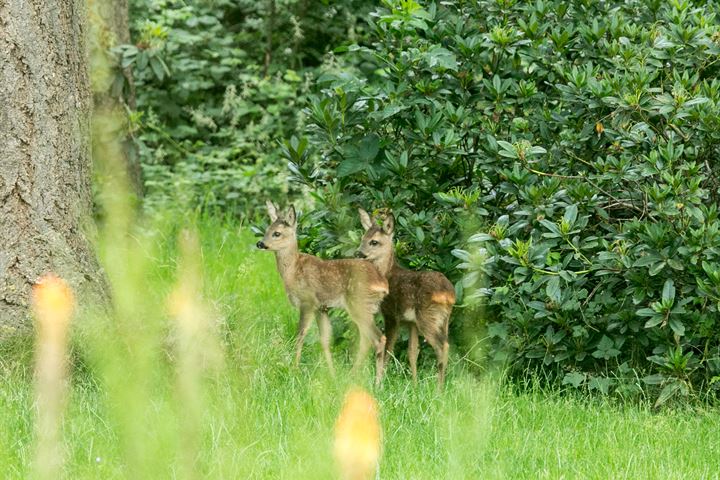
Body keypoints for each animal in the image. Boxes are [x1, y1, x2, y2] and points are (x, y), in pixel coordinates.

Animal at [255, 202, 388, 386]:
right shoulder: (321, 307)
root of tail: (382, 284)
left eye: (277, 233)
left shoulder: (307, 301)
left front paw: (294, 371)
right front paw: (332, 375)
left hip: (359, 305)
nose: (260, 243)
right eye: (267, 229)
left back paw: (376, 383)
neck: (293, 271)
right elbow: (325, 340)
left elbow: (300, 335)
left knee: (377, 338)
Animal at [356, 210, 456, 386]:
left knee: (442, 346)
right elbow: (412, 352)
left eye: (374, 242)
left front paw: (379, 383)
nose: (359, 253)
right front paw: (415, 385)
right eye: (363, 238)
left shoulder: (391, 314)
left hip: (427, 316)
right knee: (444, 344)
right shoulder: (411, 323)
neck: (387, 274)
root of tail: (448, 294)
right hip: (443, 319)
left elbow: (388, 349)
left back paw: (439, 388)